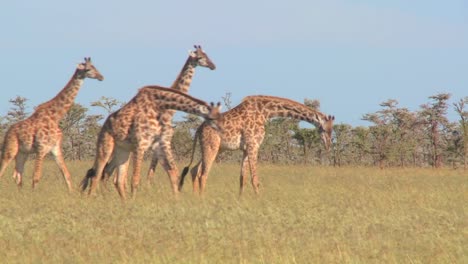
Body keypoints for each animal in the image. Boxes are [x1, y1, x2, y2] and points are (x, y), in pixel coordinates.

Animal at [0, 57, 103, 190]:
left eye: (95, 67)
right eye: (88, 69)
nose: (101, 77)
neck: (55, 117)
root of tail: (8, 131)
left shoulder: (55, 148)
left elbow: (66, 175)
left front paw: (72, 193)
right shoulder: (41, 148)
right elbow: (36, 177)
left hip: (23, 152)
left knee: (17, 175)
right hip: (10, 149)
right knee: (3, 172)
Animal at [81, 85, 223, 199]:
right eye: (212, 118)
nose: (221, 130)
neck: (159, 105)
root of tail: (105, 124)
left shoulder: (159, 145)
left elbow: (173, 174)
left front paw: (177, 202)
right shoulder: (140, 144)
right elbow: (135, 179)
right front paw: (134, 203)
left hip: (123, 151)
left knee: (115, 178)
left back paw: (121, 203)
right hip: (105, 145)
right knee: (96, 174)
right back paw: (92, 200)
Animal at [177, 95, 334, 194]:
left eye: (332, 130)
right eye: (325, 129)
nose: (328, 146)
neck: (266, 112)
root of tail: (199, 129)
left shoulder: (246, 149)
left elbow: (242, 179)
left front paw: (240, 201)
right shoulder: (254, 145)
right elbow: (255, 179)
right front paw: (259, 200)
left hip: (215, 148)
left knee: (195, 170)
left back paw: (195, 198)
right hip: (212, 146)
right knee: (203, 174)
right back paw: (202, 199)